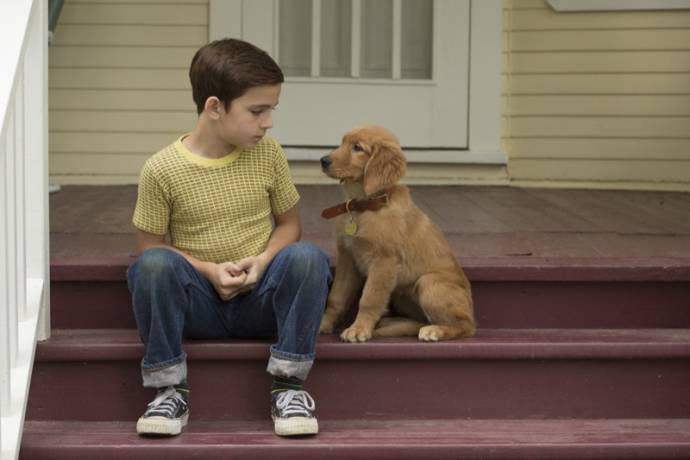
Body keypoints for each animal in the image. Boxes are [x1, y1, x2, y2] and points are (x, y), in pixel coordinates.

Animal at [318, 126, 472, 342]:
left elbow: (369, 299)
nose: (323, 160)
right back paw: (392, 323)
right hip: (402, 295)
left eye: (357, 147)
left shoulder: (384, 262)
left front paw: (359, 329)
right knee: (419, 321)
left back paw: (436, 330)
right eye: (342, 142)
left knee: (466, 325)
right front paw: (322, 324)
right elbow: (336, 297)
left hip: (428, 283)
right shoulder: (348, 259)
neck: (365, 207)